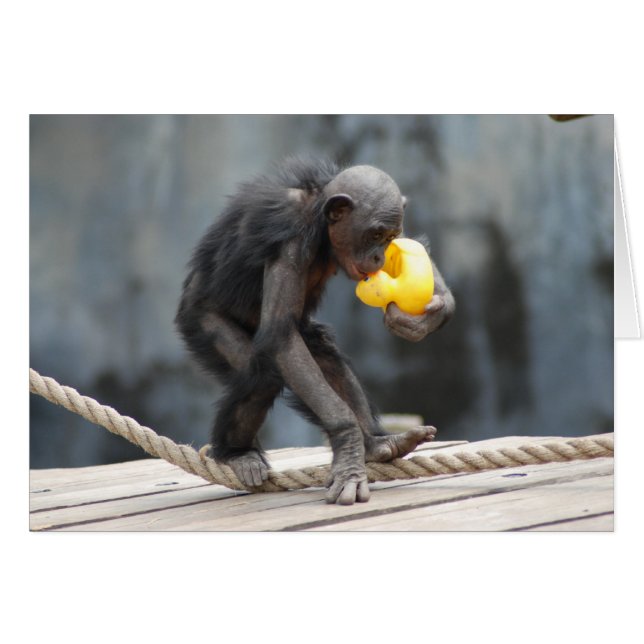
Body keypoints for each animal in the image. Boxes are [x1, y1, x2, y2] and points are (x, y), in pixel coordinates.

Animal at [175, 158, 454, 505]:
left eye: (390, 236)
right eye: (375, 233)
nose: (380, 255)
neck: (321, 223)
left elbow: (412, 245)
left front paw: (435, 310)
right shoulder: (289, 238)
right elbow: (281, 335)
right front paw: (348, 452)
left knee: (326, 358)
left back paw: (377, 444)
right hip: (202, 321)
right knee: (262, 377)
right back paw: (237, 454)